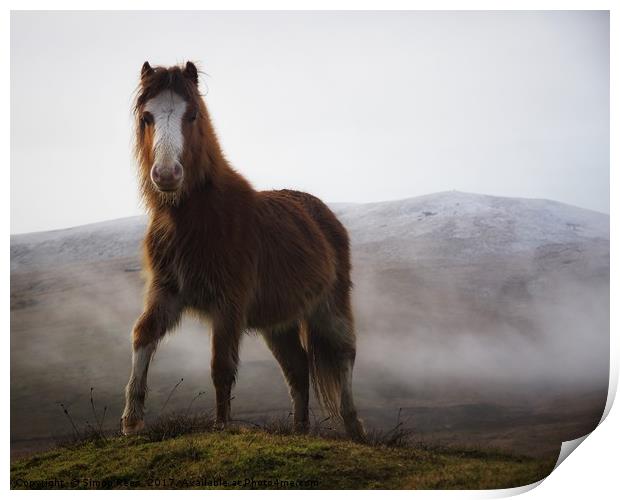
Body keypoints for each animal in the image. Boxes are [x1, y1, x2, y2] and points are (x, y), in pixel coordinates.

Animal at [120, 60, 368, 440]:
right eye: (147, 117)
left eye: (192, 114)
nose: (166, 175)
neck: (196, 218)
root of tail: (324, 215)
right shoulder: (167, 292)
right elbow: (143, 335)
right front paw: (132, 421)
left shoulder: (229, 304)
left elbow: (221, 365)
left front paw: (222, 425)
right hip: (277, 323)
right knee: (297, 369)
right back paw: (299, 431)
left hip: (329, 306)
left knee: (344, 354)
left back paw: (354, 426)